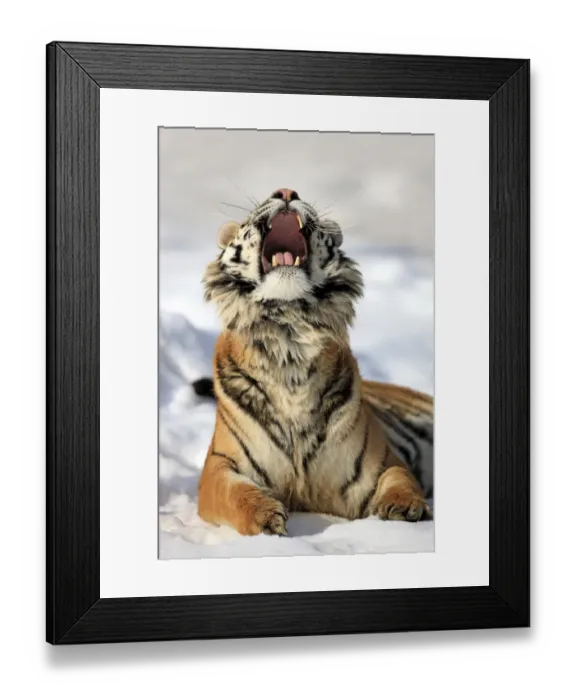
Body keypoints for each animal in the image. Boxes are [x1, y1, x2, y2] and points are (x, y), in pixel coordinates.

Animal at [194, 187, 433, 536]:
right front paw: (265, 517)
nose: (286, 191)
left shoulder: (382, 462)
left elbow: (399, 478)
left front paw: (404, 507)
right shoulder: (221, 464)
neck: (290, 340)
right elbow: (235, 493)